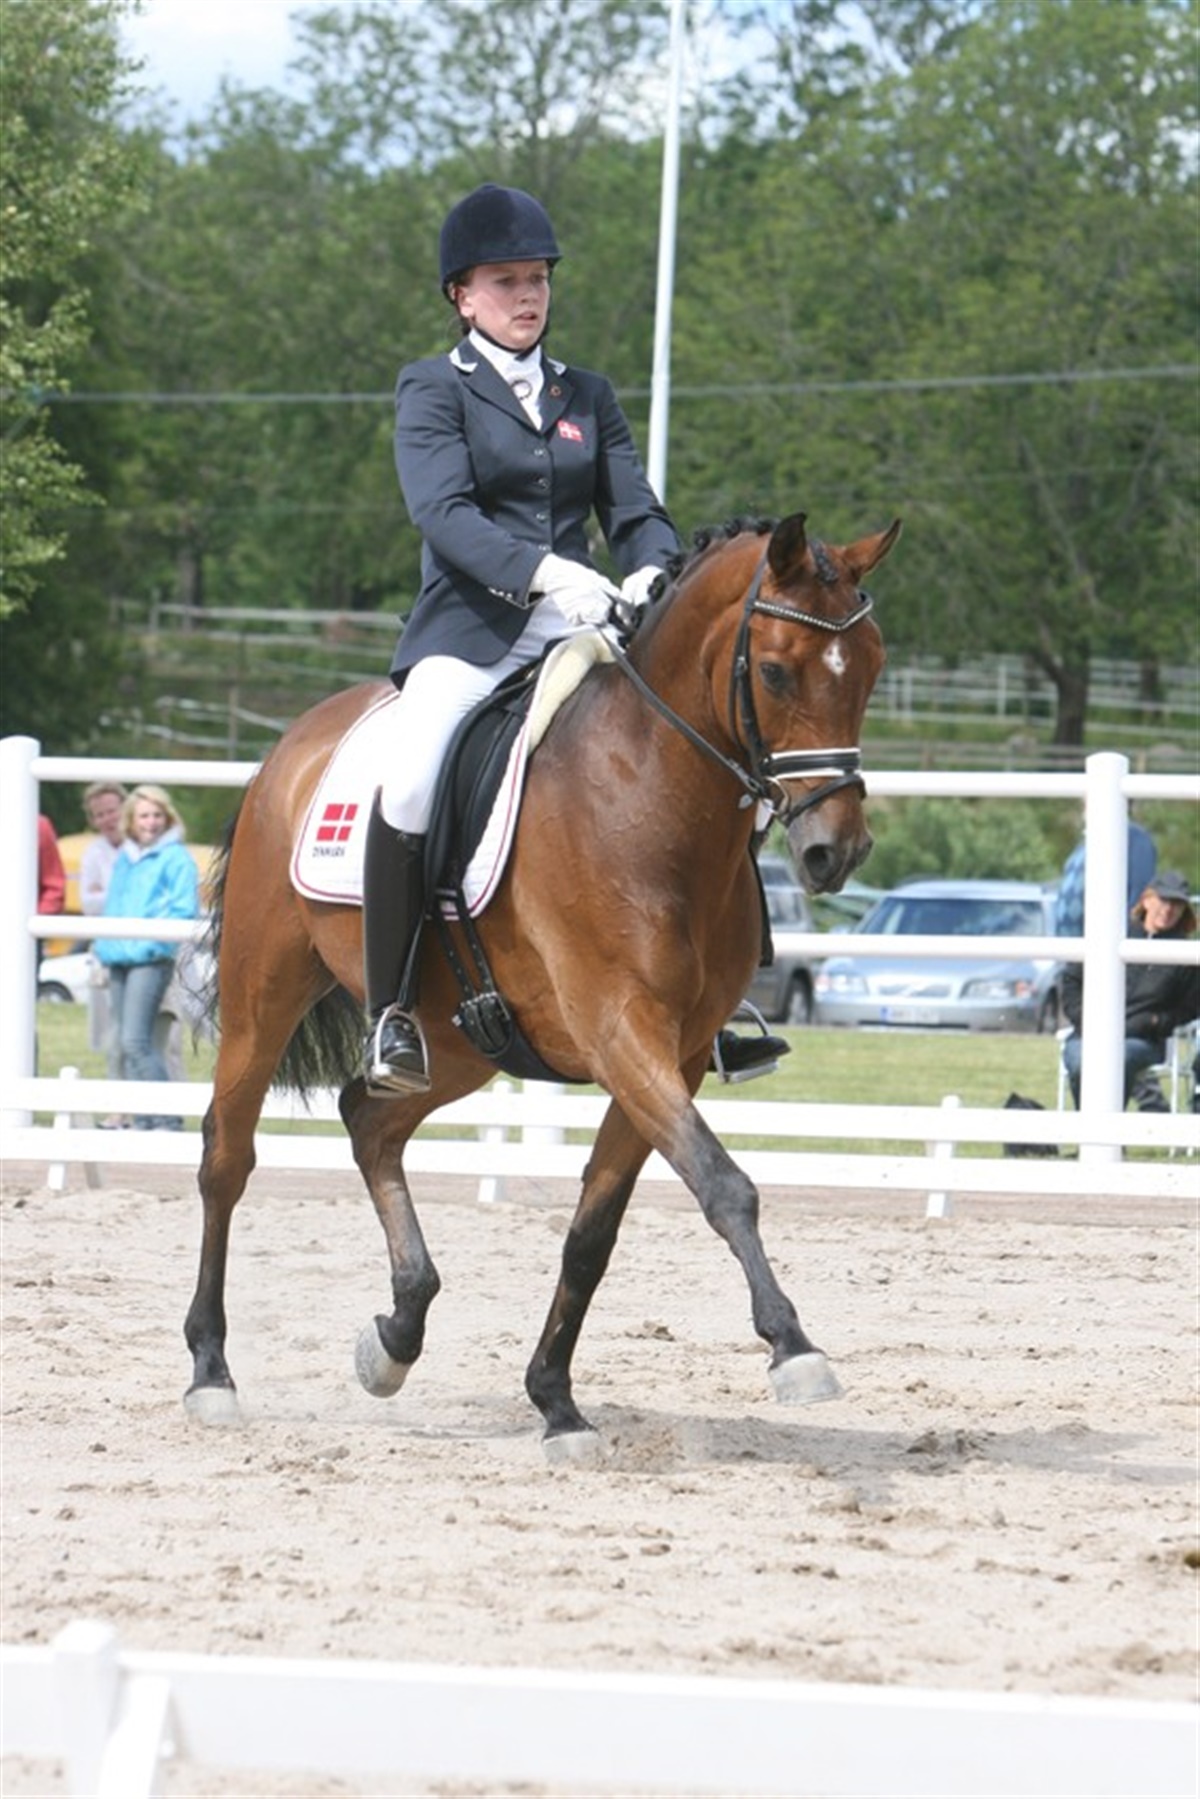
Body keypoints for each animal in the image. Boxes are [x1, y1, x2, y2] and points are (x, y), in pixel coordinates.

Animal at [185, 510, 899, 1455]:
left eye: (874, 667)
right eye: (777, 669)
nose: (834, 851)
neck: (651, 791)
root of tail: (294, 743)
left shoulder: (669, 1054)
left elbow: (593, 1232)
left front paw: (555, 1400)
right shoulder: (620, 1029)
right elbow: (723, 1185)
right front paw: (794, 1347)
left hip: (461, 1041)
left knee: (370, 1119)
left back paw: (397, 1334)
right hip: (262, 995)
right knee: (227, 1158)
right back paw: (210, 1370)